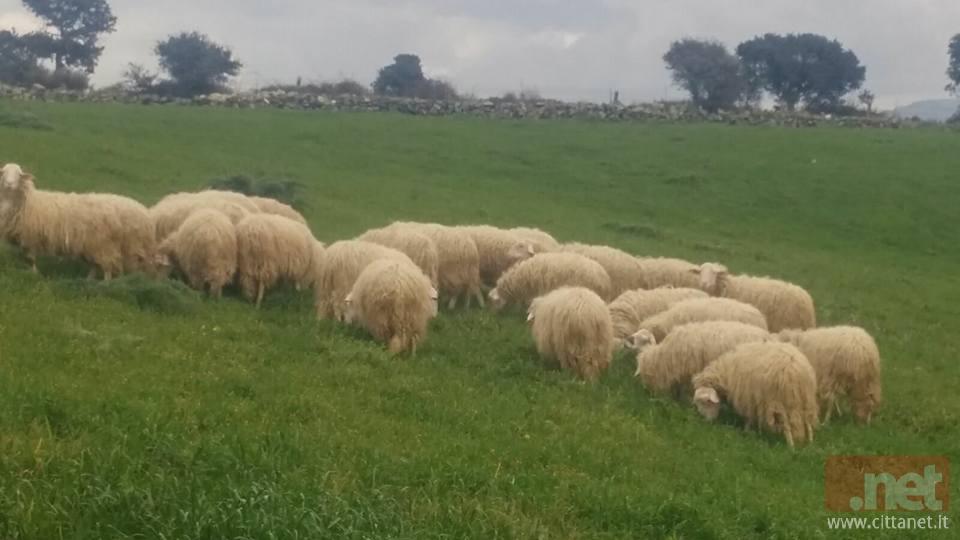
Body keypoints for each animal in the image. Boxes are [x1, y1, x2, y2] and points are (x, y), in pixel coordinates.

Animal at [0, 164, 154, 280]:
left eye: (19, 174)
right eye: (4, 172)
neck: (28, 202)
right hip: (93, 245)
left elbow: (30, 259)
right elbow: (27, 259)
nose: (9, 184)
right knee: (96, 265)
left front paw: (34, 274)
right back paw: (89, 280)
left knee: (107, 267)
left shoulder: (30, 237)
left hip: (105, 244)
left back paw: (105, 284)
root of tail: (144, 213)